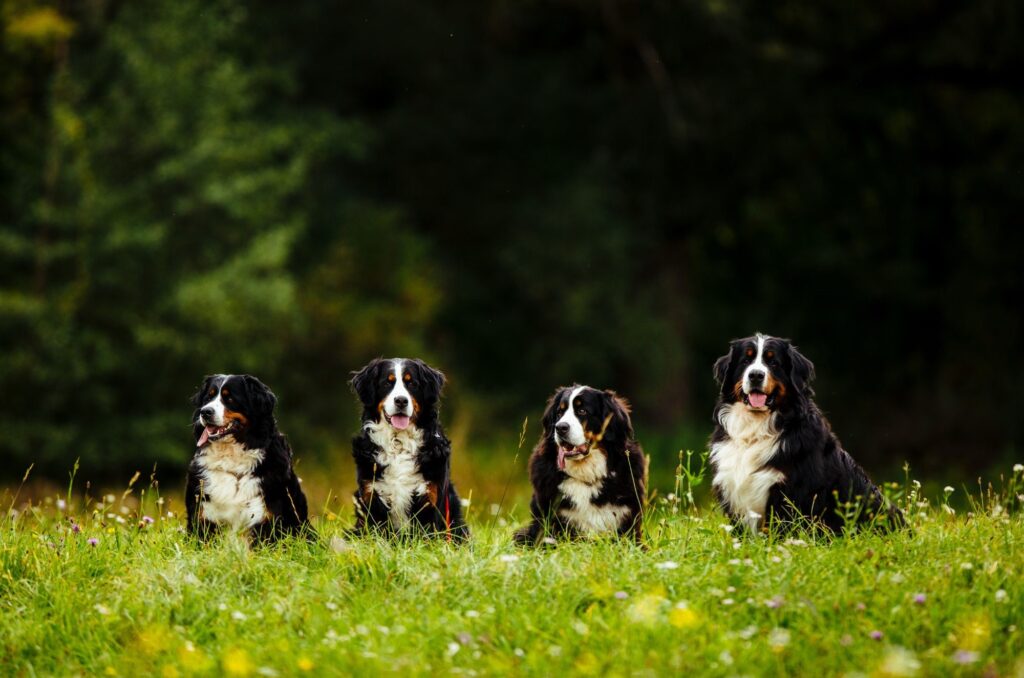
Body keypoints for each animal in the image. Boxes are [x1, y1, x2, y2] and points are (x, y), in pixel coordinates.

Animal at [186, 374, 309, 544]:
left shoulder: (267, 519)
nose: (205, 412)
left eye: (229, 398)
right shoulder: (202, 517)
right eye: (208, 398)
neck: (231, 460)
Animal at [348, 356, 468, 540]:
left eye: (412, 383)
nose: (401, 400)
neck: (398, 443)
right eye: (387, 383)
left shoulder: (430, 499)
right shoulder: (372, 497)